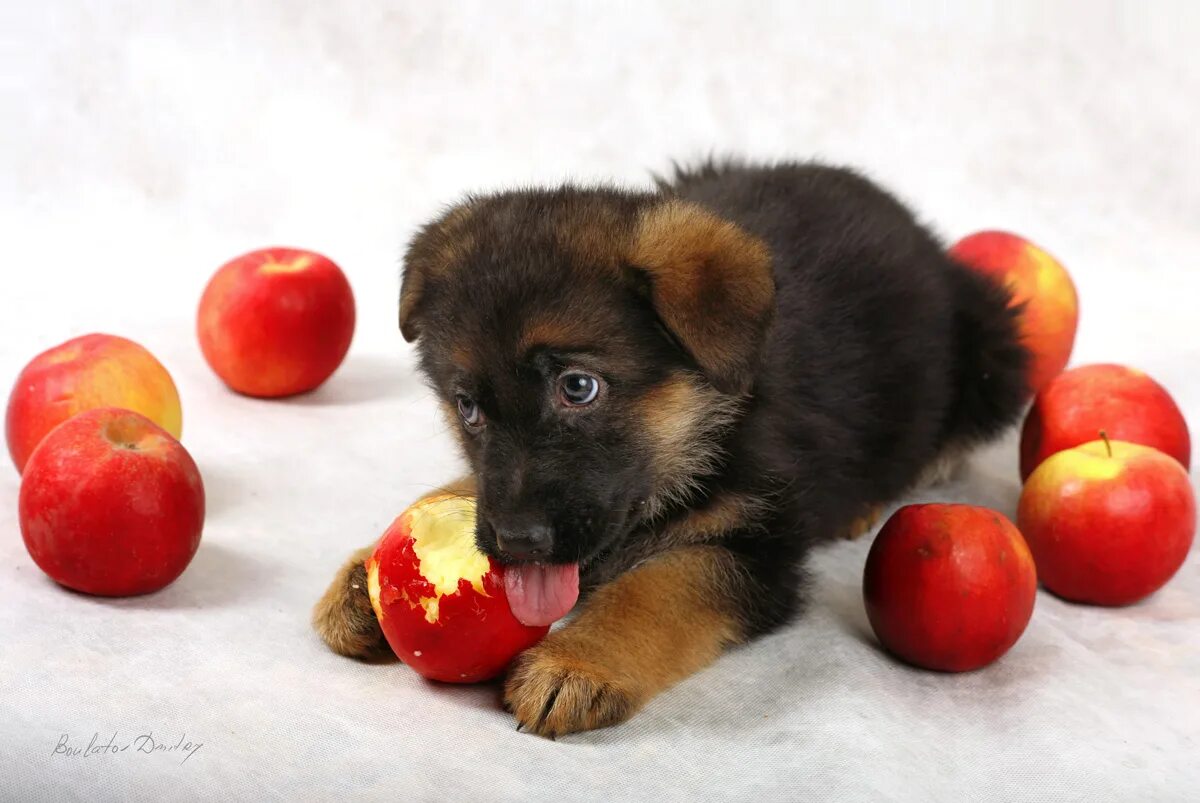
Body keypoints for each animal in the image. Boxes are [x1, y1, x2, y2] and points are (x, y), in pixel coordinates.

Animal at [312, 159, 1032, 734]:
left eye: (579, 387)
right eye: (467, 407)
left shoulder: (759, 546)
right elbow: (465, 487)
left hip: (994, 343)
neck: (720, 415)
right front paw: (364, 573)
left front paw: (579, 660)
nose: (514, 542)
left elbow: (664, 584)